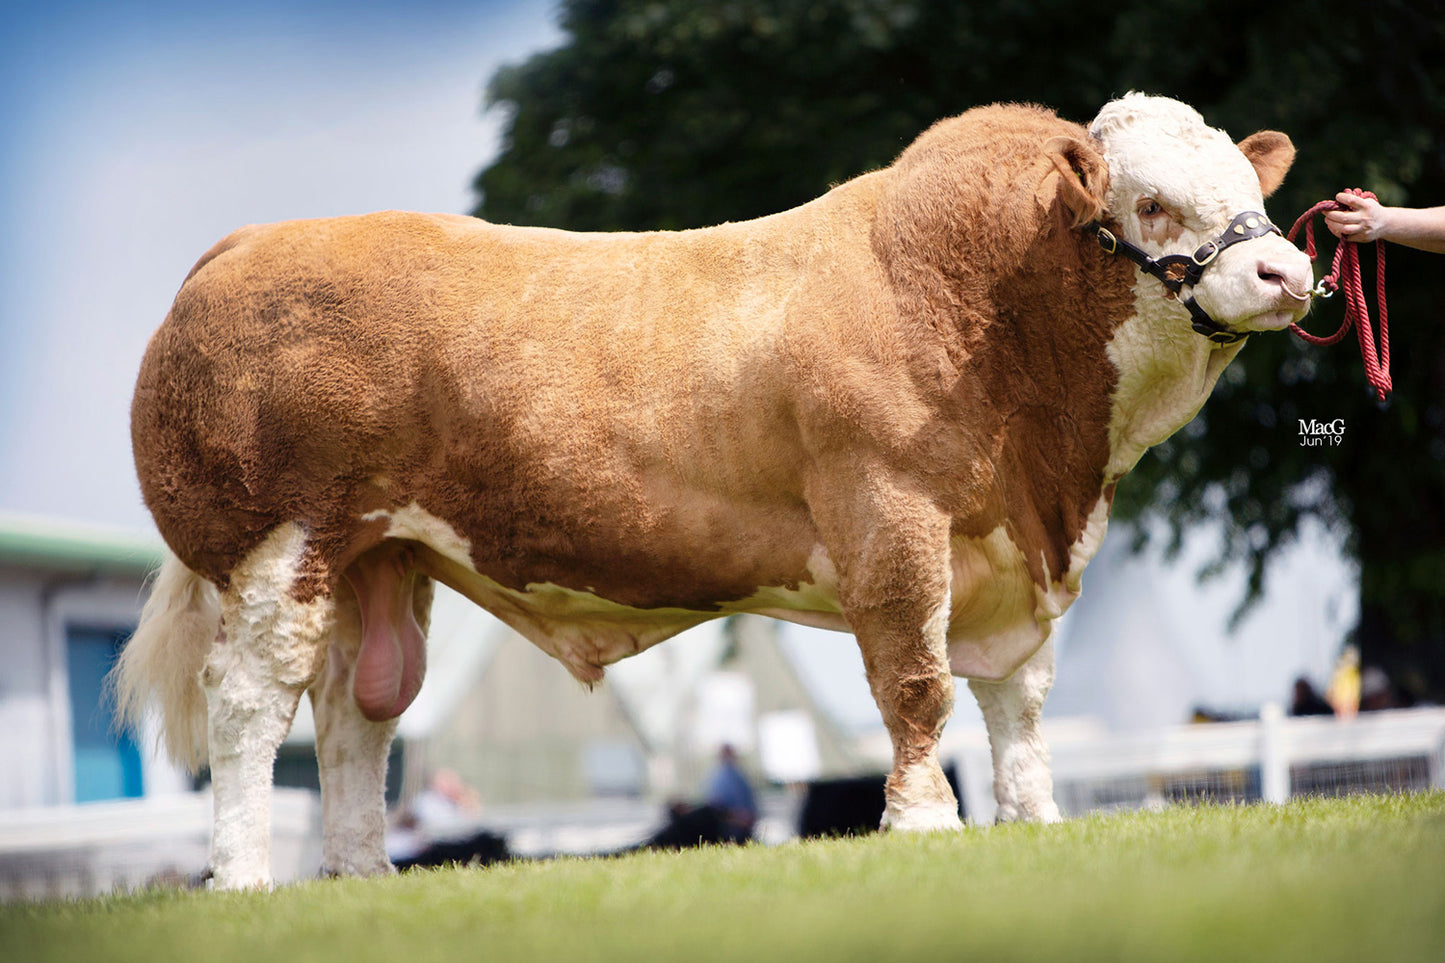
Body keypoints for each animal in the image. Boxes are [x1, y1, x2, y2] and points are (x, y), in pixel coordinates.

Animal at [115, 93, 1312, 890]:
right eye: (1148, 202)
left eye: (1252, 192)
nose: (1286, 272)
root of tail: (247, 247)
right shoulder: (887, 518)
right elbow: (916, 684)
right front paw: (923, 822)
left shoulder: (1016, 559)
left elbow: (1015, 700)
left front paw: (1033, 817)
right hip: (283, 543)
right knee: (250, 702)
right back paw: (245, 878)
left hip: (380, 557)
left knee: (357, 714)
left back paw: (362, 873)